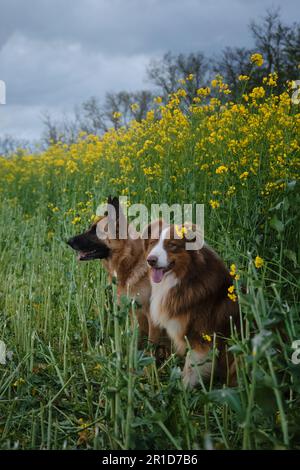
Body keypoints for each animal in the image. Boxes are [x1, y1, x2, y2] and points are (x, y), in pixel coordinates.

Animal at [142, 219, 239, 386]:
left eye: (172, 245)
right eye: (153, 242)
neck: (187, 277)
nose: (151, 260)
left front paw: (182, 390)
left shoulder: (201, 338)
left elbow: (190, 368)